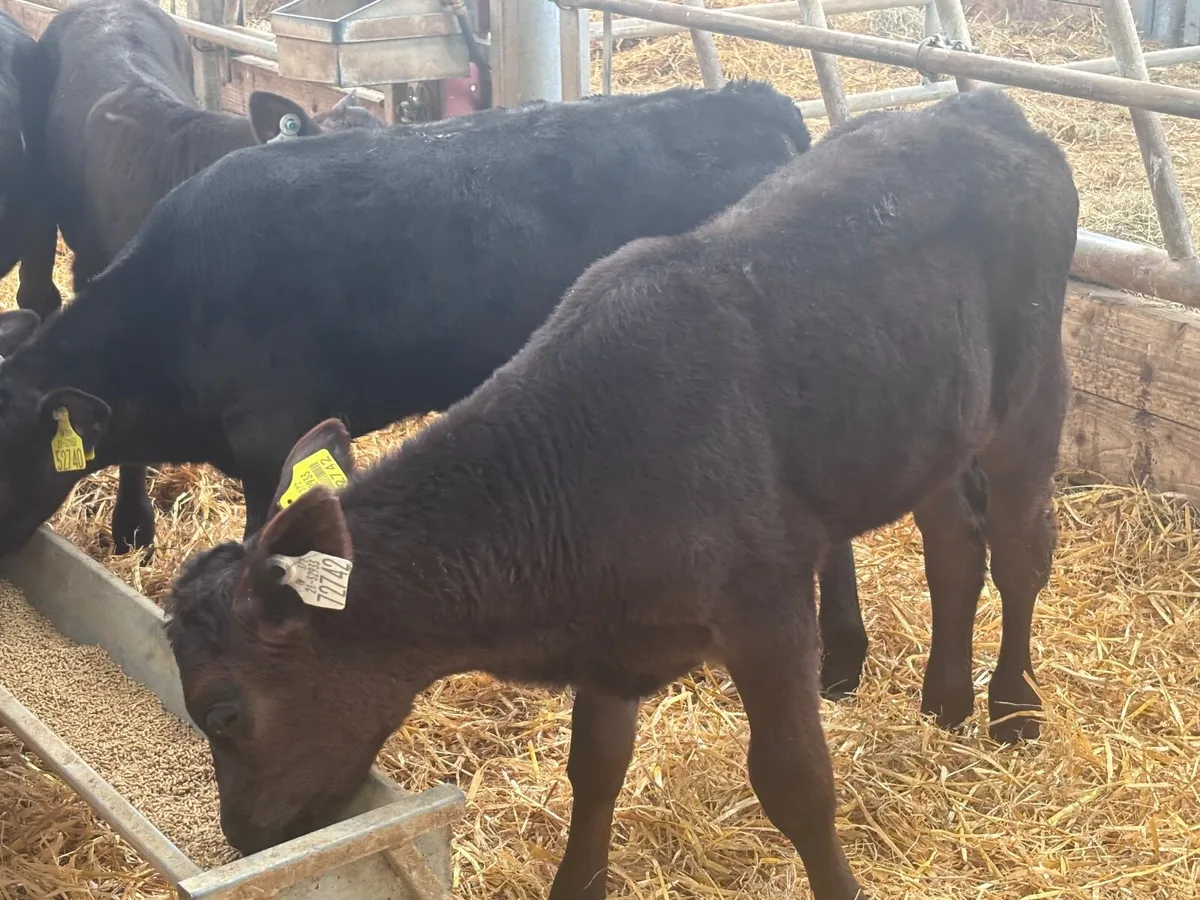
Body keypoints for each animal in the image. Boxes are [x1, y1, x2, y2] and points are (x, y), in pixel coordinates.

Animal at [161, 86, 1076, 899]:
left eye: (223, 712)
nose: (241, 836)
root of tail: (982, 107)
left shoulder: (769, 608)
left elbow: (797, 782)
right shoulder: (607, 630)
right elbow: (595, 767)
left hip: (1032, 395)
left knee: (1020, 550)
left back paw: (1013, 707)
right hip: (929, 427)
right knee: (953, 543)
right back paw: (946, 700)